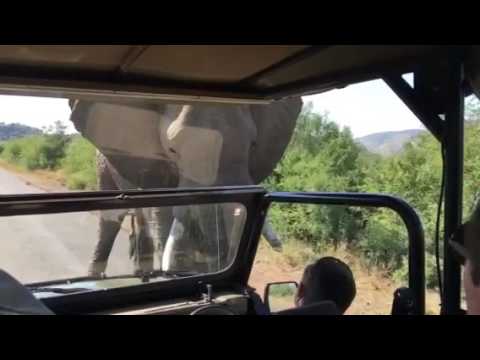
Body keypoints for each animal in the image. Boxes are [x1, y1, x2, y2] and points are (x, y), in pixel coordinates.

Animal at [68, 97, 302, 278]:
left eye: (253, 145)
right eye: (172, 150)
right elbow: (165, 216)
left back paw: (142, 273)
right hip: (103, 162)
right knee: (112, 217)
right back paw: (95, 277)